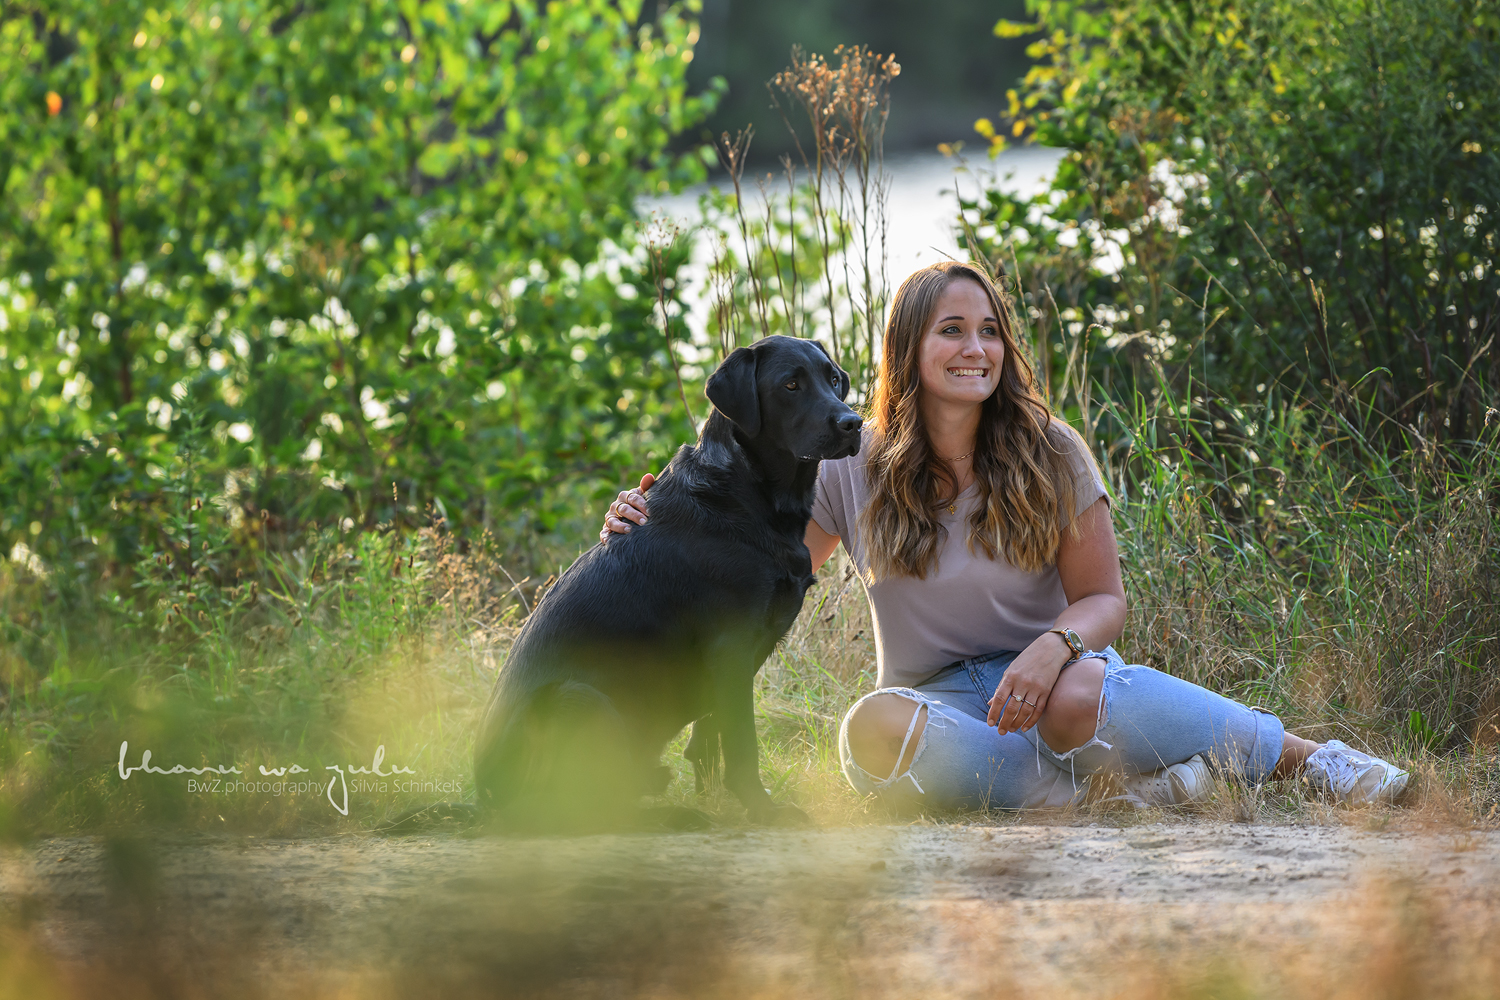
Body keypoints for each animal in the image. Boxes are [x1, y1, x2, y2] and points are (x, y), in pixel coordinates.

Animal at [474, 332, 864, 833]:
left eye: (833, 379)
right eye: (790, 385)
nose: (852, 423)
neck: (749, 493)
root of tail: (485, 798)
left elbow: (712, 737)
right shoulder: (730, 646)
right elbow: (742, 743)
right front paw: (762, 809)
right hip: (576, 699)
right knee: (579, 809)